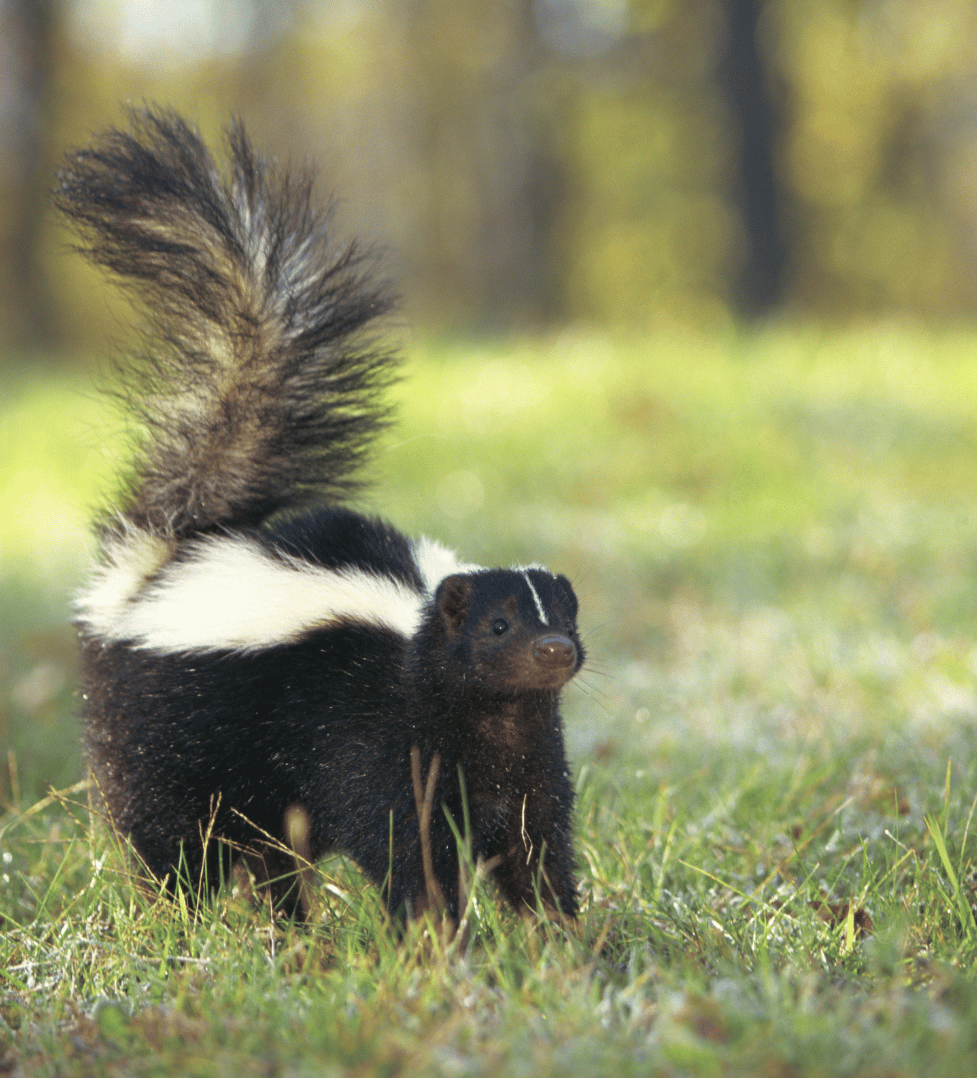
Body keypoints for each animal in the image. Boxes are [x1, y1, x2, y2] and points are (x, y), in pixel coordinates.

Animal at [57, 107, 582, 918]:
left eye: (564, 618)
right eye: (498, 627)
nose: (554, 651)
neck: (484, 716)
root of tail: (161, 559)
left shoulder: (522, 757)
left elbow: (535, 843)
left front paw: (557, 933)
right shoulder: (378, 738)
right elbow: (407, 842)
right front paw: (437, 933)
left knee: (270, 849)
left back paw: (289, 925)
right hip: (165, 730)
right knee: (175, 834)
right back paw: (179, 918)